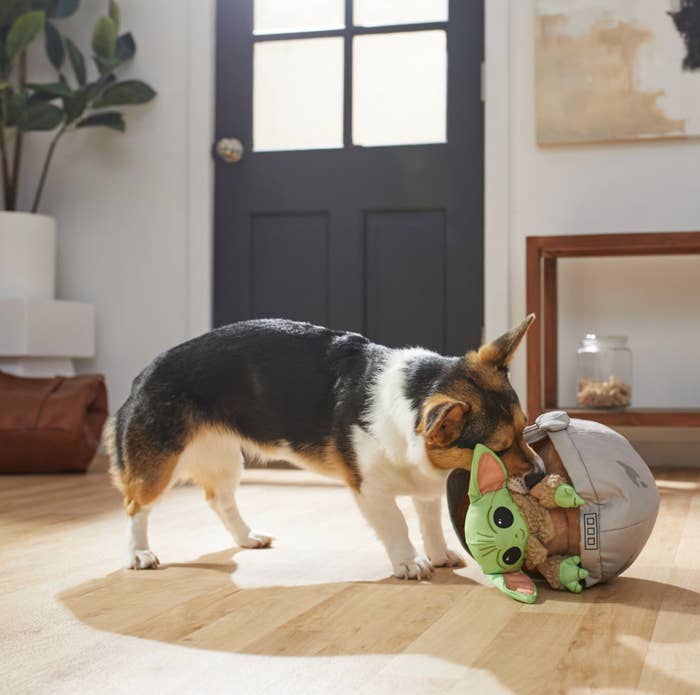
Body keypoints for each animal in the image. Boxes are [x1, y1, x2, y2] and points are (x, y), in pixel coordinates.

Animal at [106, 314, 540, 576]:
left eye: (525, 429)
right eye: (499, 448)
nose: (538, 474)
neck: (414, 394)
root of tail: (143, 374)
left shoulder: (425, 489)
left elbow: (429, 524)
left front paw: (438, 555)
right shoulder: (370, 490)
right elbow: (397, 524)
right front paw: (409, 563)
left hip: (225, 460)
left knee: (220, 500)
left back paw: (247, 537)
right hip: (157, 466)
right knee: (135, 507)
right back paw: (138, 553)